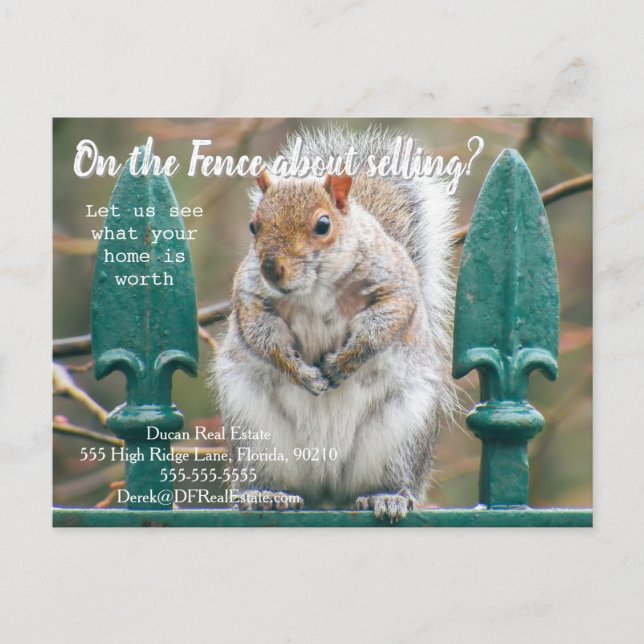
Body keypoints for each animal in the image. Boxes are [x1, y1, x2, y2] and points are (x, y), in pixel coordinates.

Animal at [212, 126, 456, 522]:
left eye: (323, 225)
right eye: (253, 226)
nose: (271, 268)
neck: (314, 288)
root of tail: (327, 487)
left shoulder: (395, 284)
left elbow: (386, 321)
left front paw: (342, 363)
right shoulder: (250, 296)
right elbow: (261, 336)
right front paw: (302, 373)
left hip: (402, 431)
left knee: (390, 479)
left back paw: (386, 497)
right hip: (254, 432)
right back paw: (267, 494)